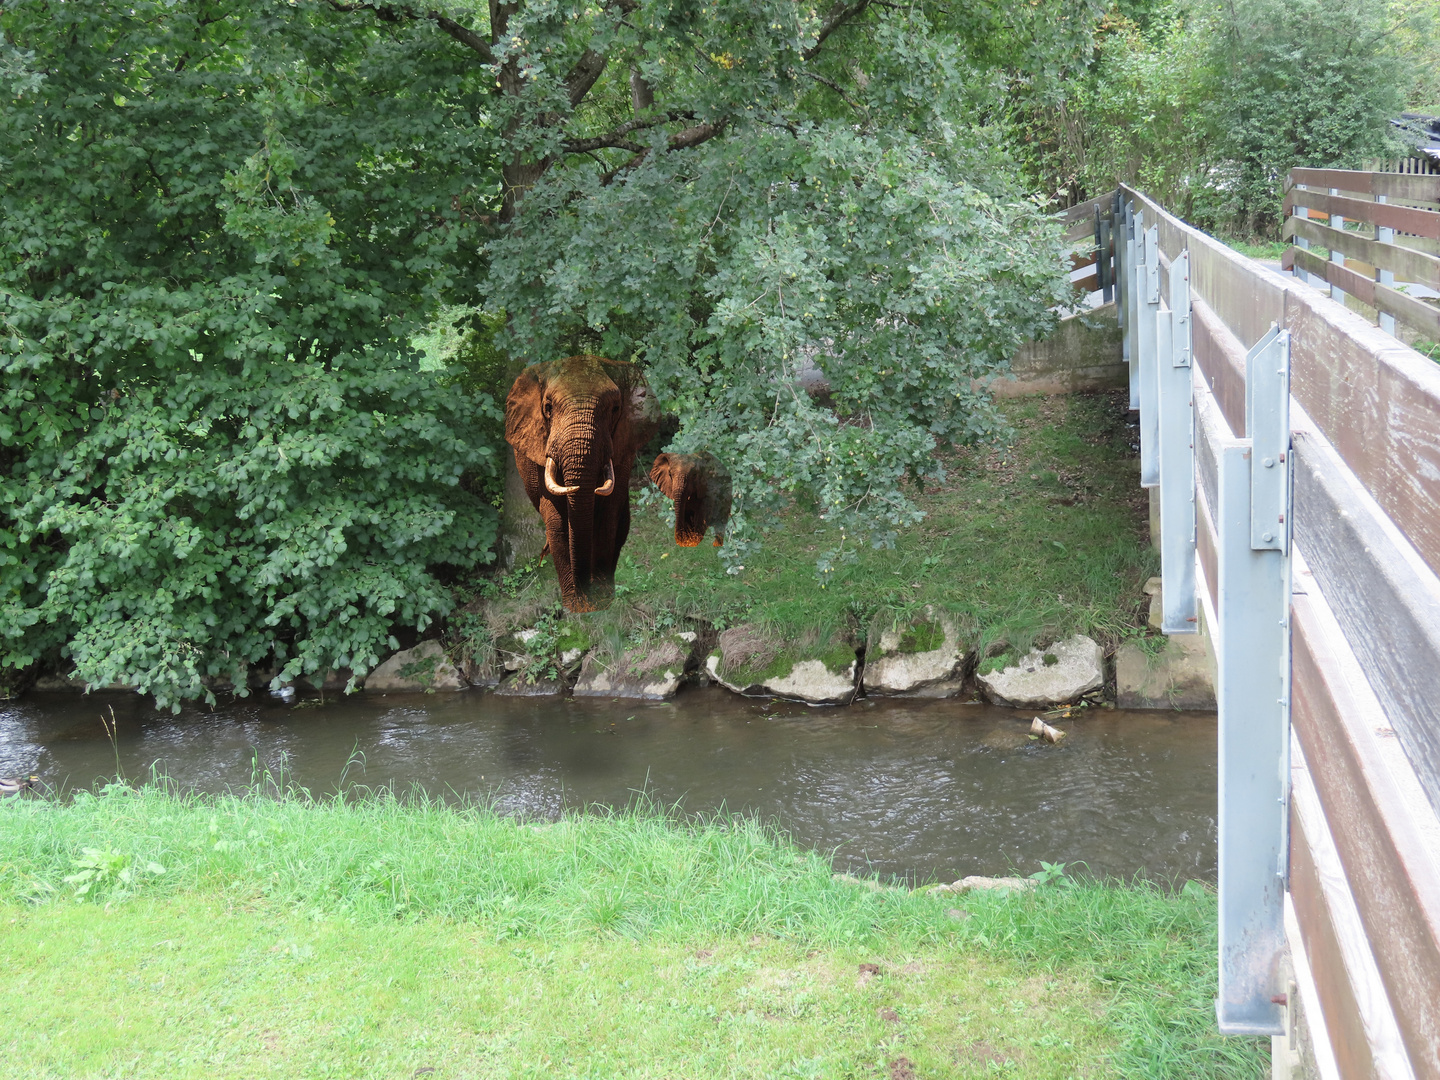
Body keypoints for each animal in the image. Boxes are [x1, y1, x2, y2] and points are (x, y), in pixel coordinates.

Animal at [504, 357, 659, 616]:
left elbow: (607, 517)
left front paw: (601, 601)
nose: (586, 602)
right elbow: (556, 521)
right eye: (548, 407)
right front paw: (575, 606)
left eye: (615, 408)